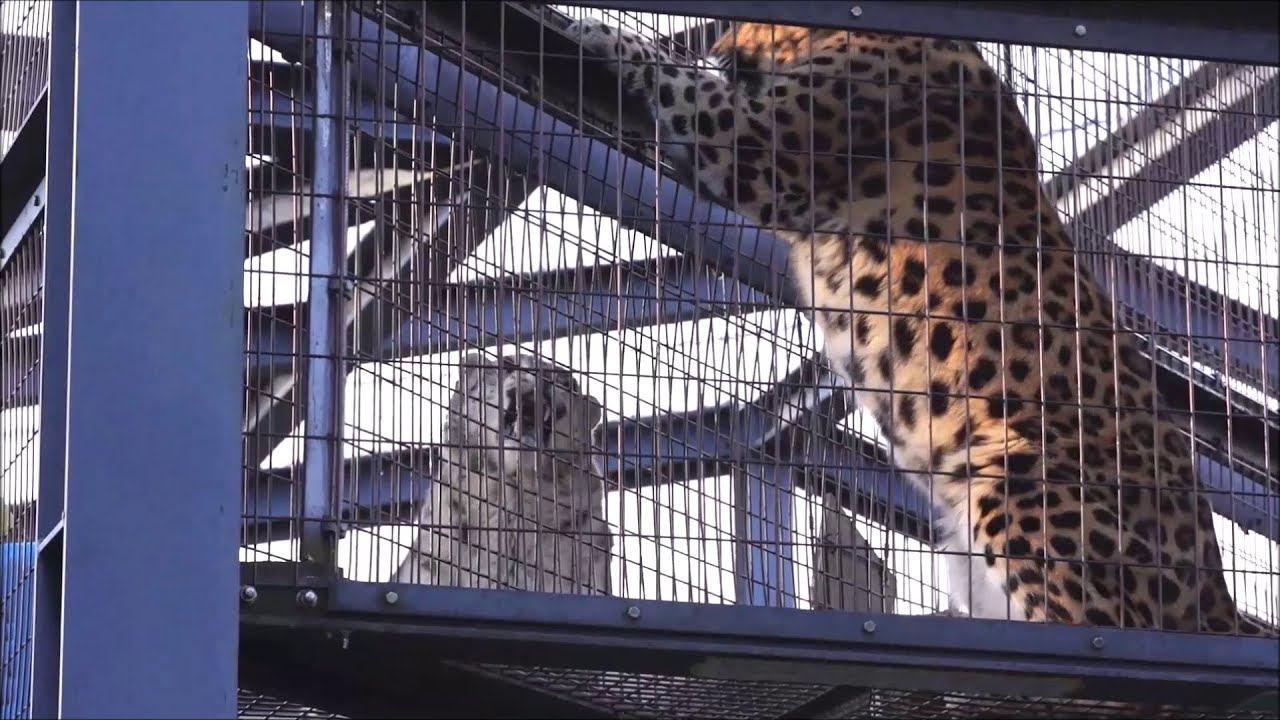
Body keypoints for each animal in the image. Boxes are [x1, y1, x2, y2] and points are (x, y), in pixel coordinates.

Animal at [563, 15, 1277, 641]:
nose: (722, 46)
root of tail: (1217, 595)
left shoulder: (767, 141)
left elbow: (679, 81)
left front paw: (603, 34)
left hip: (1020, 484)